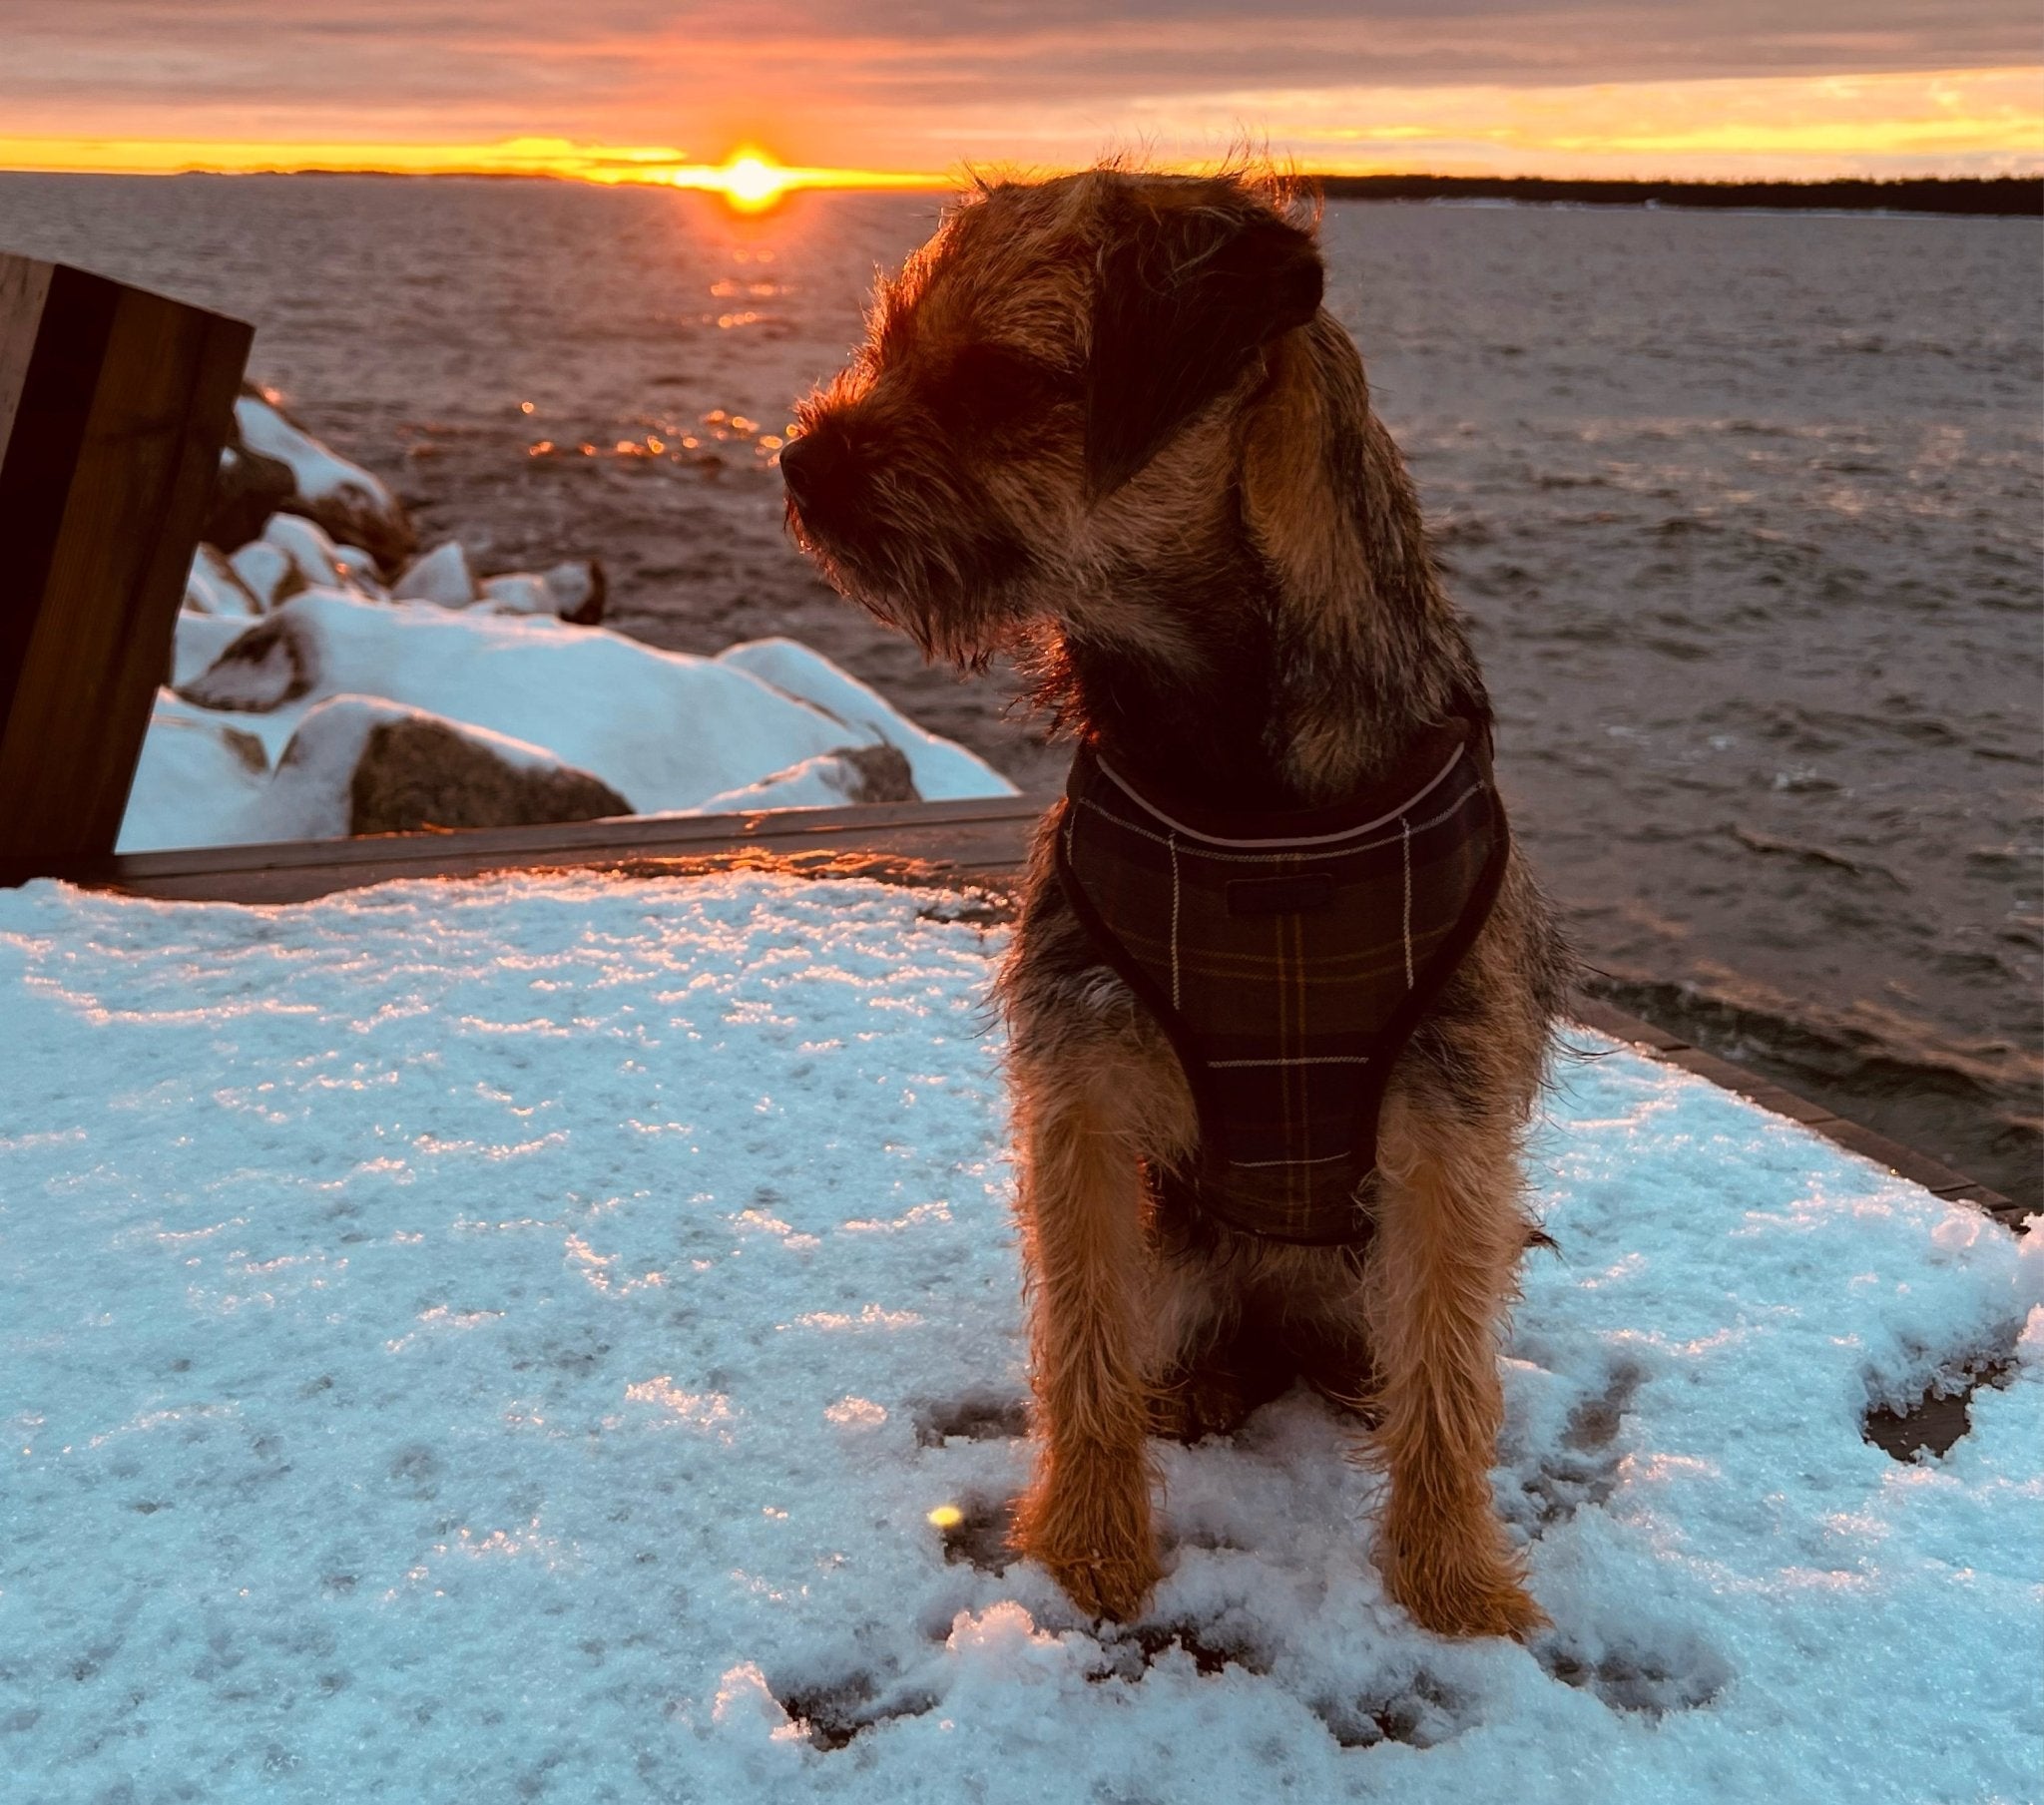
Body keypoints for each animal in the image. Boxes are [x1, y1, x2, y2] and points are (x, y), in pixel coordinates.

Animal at [776, 165, 1561, 1634]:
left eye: (1000, 378)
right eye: (895, 341)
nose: (799, 462)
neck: (1250, 799)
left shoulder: (1449, 1118)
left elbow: (1445, 1369)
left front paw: (1449, 1583)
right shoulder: (1079, 1086)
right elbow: (1081, 1336)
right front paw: (1089, 1550)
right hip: (1185, 1246)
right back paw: (1191, 1386)